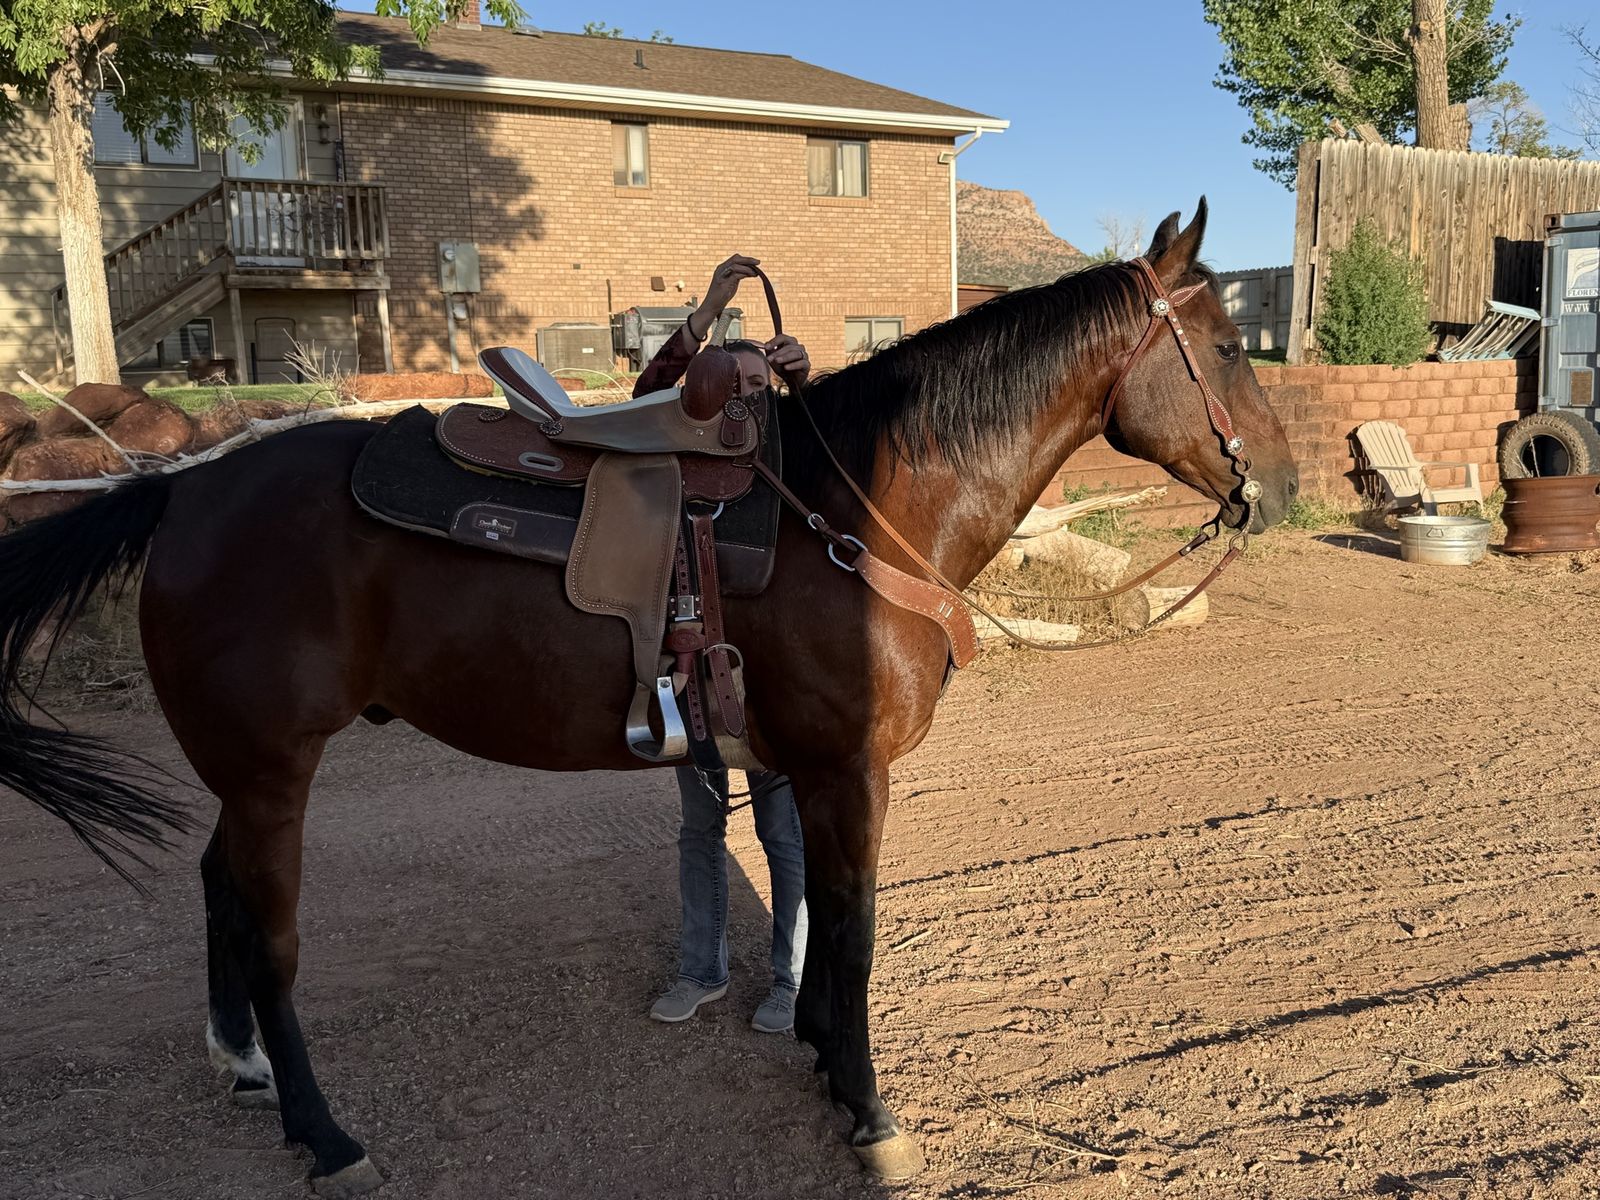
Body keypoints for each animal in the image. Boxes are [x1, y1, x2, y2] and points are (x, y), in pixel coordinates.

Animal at [0, 202, 1297, 1196]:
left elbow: (810, 908)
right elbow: (855, 928)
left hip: (245, 772)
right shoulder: (850, 768)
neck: (858, 503)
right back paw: (325, 1136)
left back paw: (244, 1065)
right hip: (274, 770)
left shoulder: (799, 764)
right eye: (1230, 347)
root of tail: (180, 492)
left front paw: (818, 1052)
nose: (1283, 483)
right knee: (268, 936)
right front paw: (868, 1109)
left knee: (216, 889)